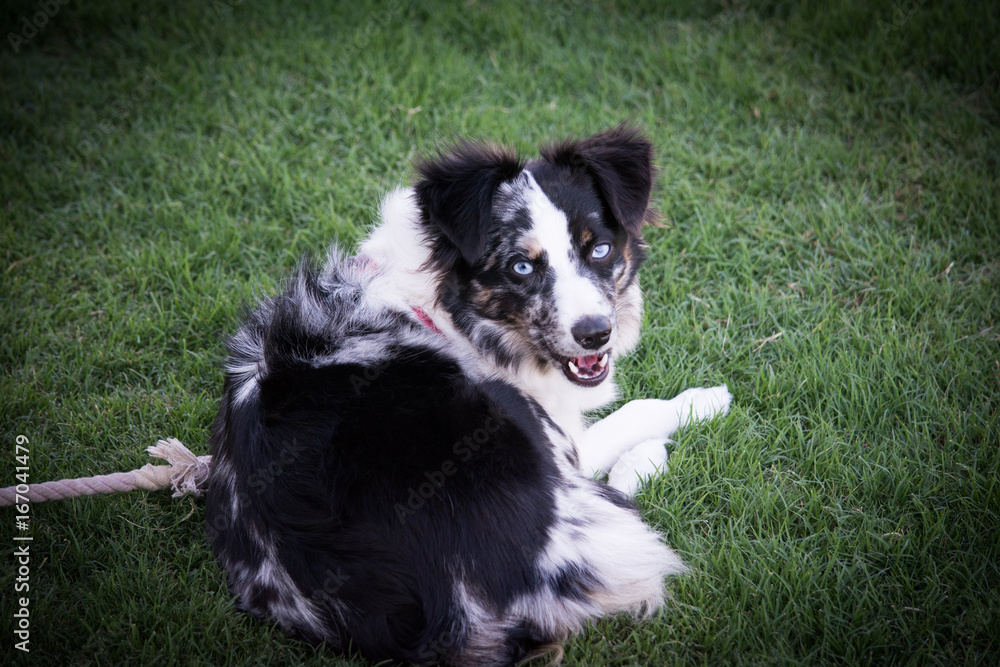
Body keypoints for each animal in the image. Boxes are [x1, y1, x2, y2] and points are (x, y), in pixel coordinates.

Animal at [205, 126, 736, 667]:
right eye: (521, 267)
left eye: (600, 250)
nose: (595, 334)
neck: (441, 311)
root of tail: (429, 621)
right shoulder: (559, 435)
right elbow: (634, 412)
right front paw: (703, 400)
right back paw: (649, 457)